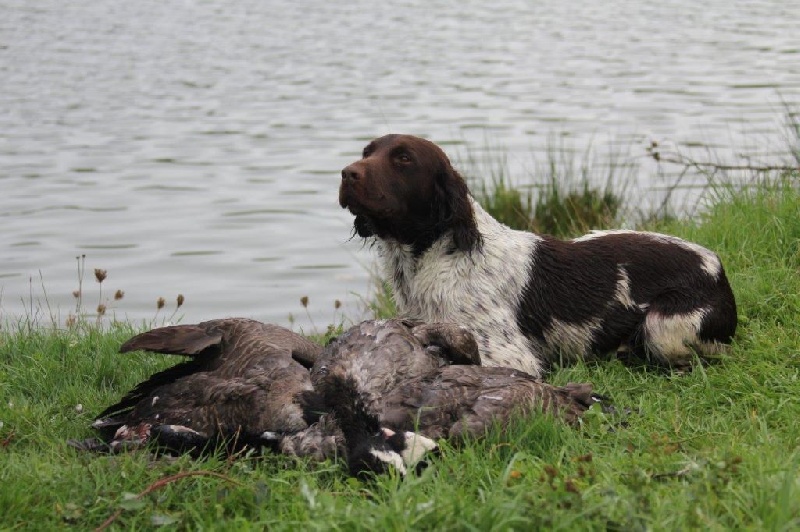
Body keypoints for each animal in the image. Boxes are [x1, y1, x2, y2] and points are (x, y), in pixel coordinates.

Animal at [338, 133, 736, 376]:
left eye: (403, 158)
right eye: (366, 152)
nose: (346, 173)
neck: (432, 261)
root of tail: (717, 267)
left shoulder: (510, 356)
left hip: (662, 325)